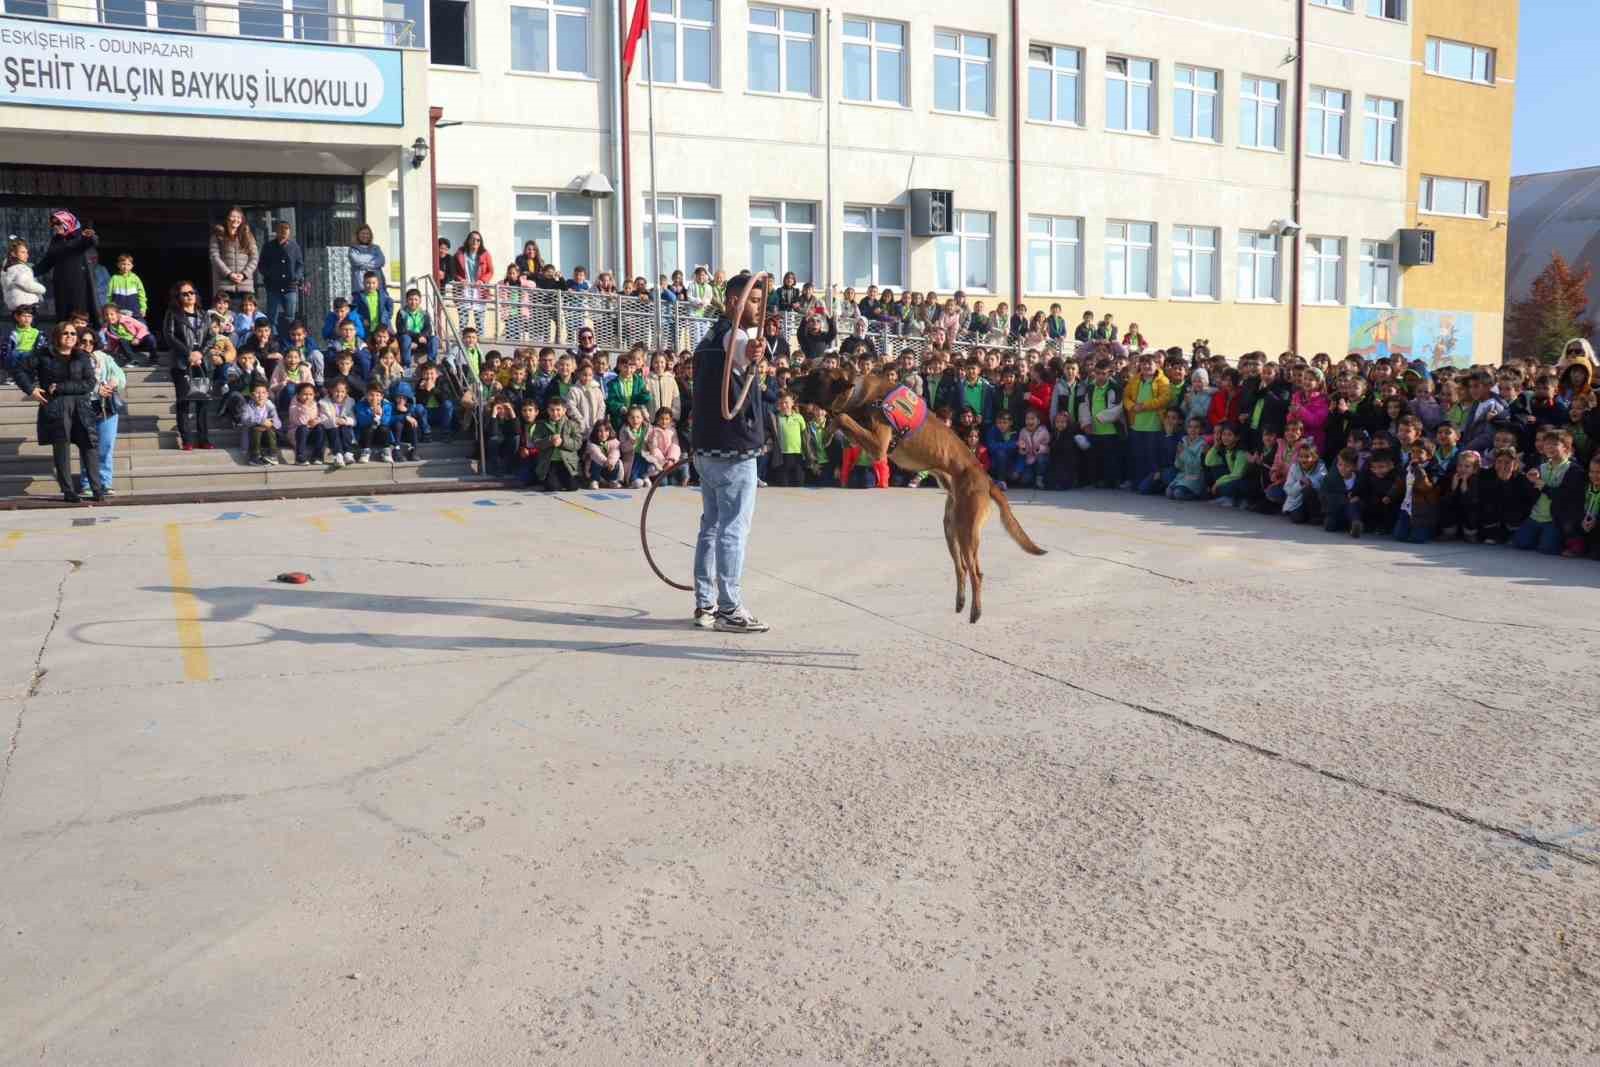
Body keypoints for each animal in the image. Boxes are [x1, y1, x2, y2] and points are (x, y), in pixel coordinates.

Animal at [793, 367, 1043, 620]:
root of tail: (987, 479)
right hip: (951, 527)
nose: (791, 381)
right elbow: (841, 421)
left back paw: (976, 610)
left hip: (967, 529)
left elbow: (842, 417)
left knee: (976, 572)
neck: (860, 393)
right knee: (961, 567)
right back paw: (961, 601)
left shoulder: (879, 446)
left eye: (814, 376)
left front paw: (829, 429)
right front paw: (827, 433)